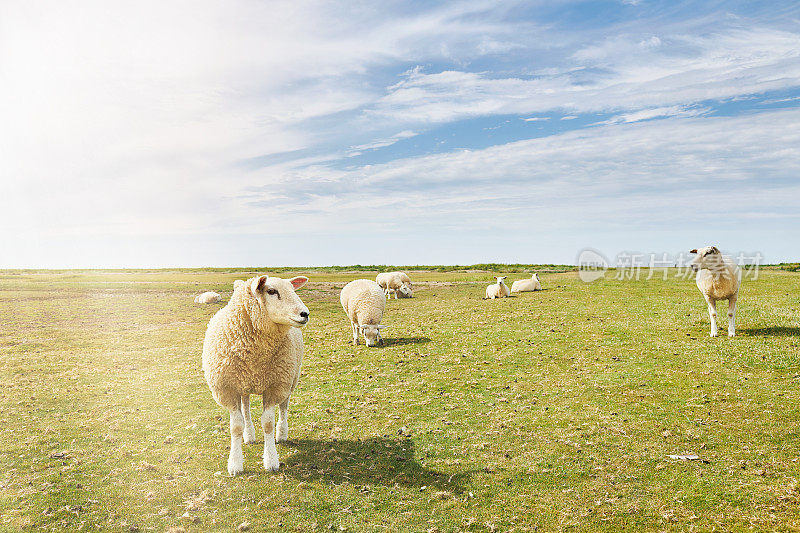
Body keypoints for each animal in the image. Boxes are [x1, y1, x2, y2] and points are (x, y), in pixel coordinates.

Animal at [203, 274, 310, 474]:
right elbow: (236, 426)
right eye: (271, 291)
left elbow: (268, 424)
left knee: (284, 407)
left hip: (290, 378)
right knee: (246, 408)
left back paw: (281, 433)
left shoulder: (275, 386)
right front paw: (235, 463)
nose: (305, 314)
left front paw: (271, 460)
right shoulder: (228, 389)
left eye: (293, 290)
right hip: (243, 383)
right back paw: (249, 434)